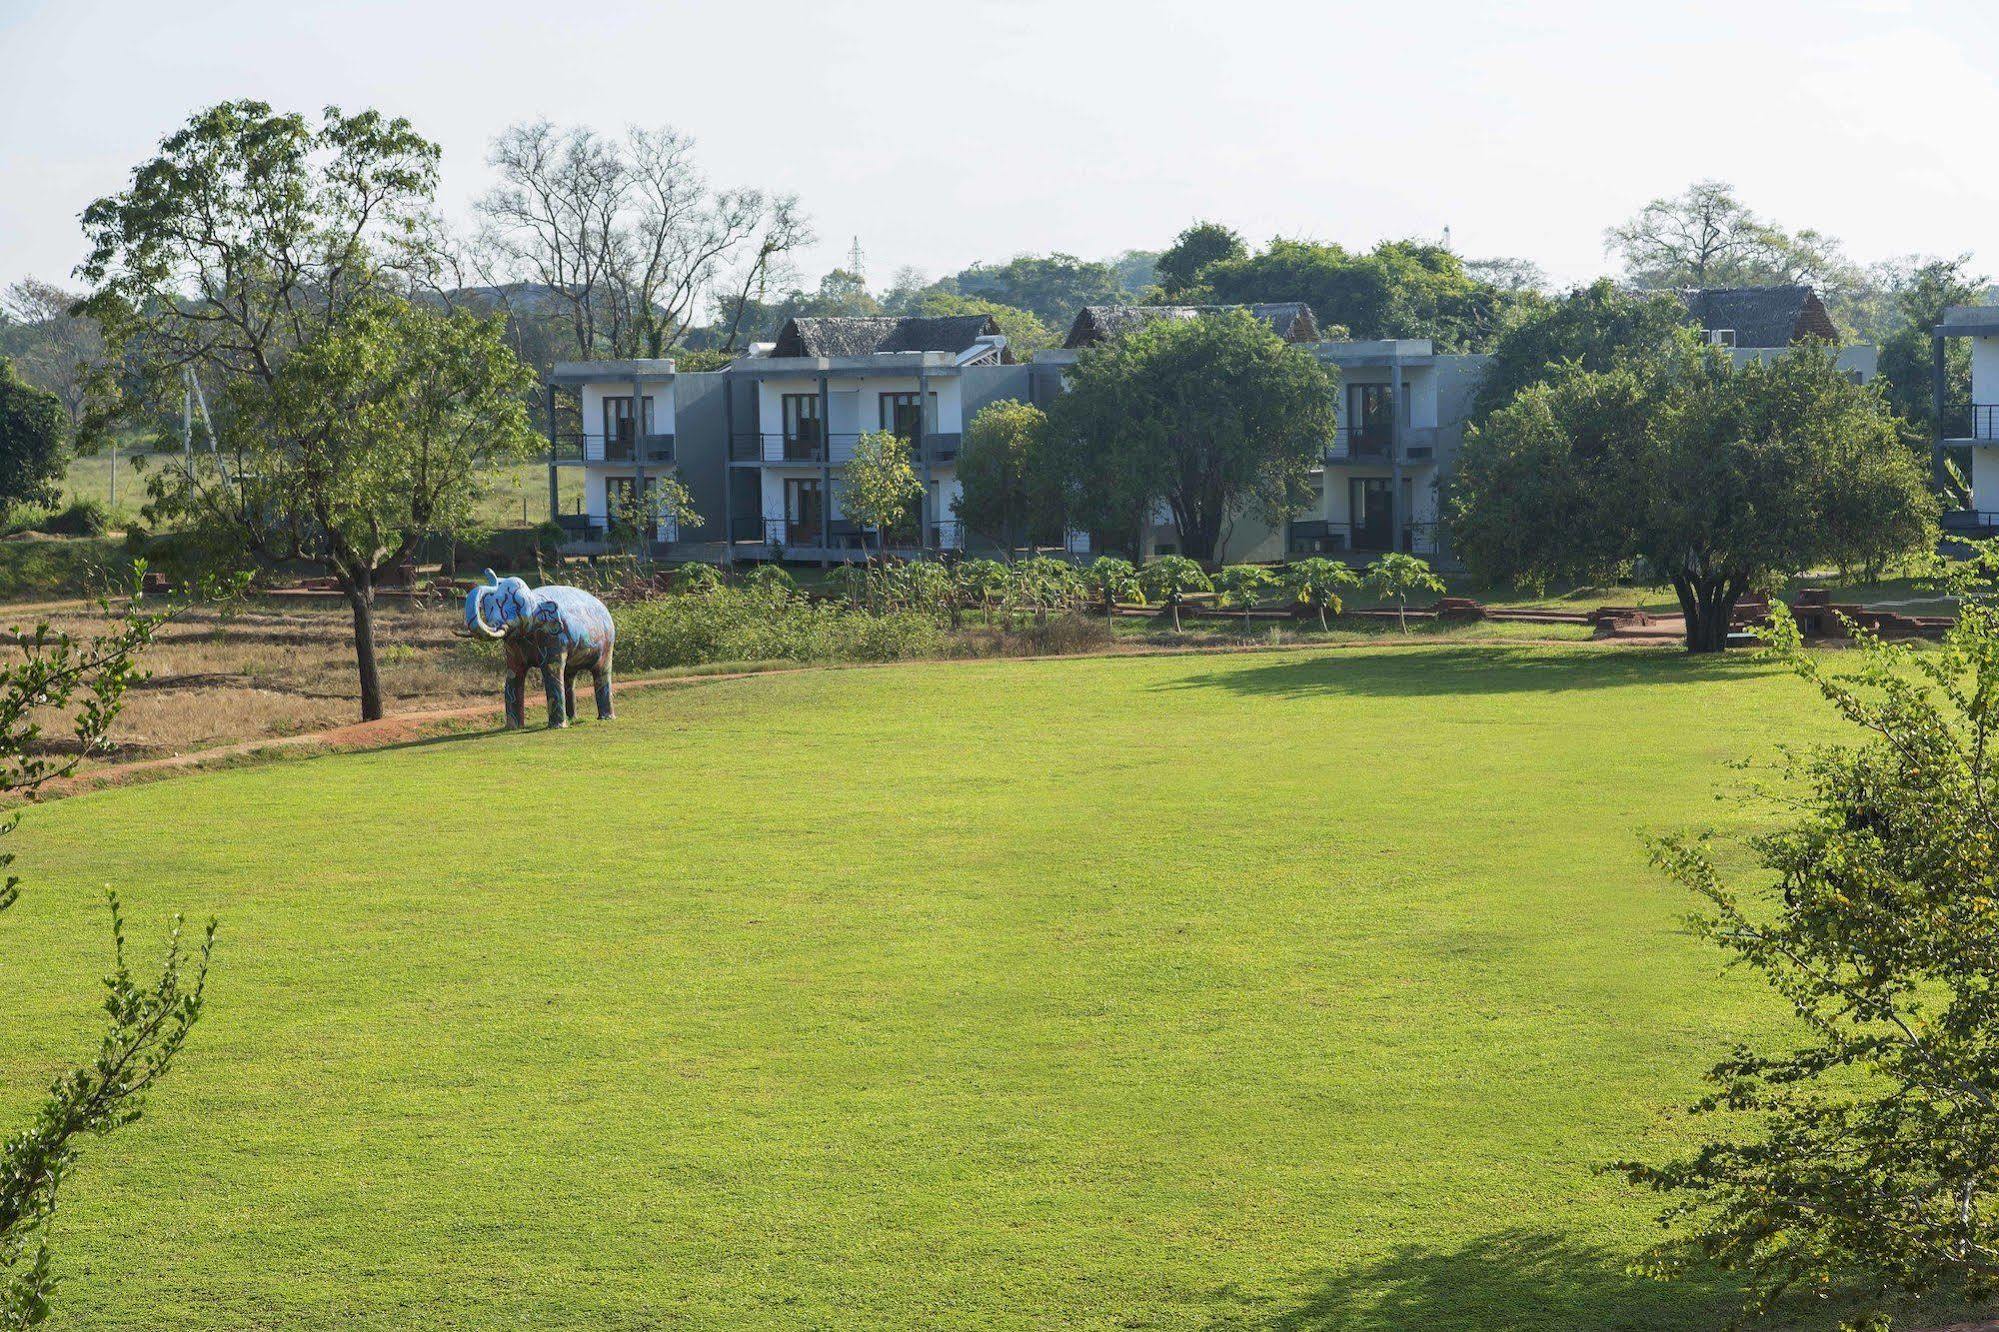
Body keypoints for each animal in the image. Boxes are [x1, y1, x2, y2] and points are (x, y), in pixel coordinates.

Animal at [461, 564, 611, 720]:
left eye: (515, 607)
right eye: (486, 607)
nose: (489, 572)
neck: (535, 598)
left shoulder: (555, 638)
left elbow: (551, 672)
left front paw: (557, 725)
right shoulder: (514, 644)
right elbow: (514, 674)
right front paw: (513, 726)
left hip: (607, 644)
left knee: (601, 671)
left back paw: (605, 718)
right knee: (569, 675)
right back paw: (572, 718)